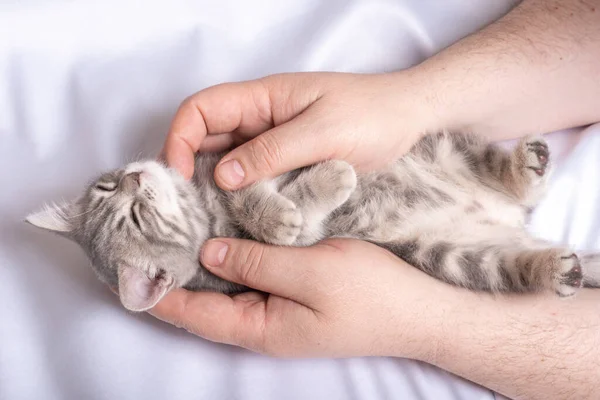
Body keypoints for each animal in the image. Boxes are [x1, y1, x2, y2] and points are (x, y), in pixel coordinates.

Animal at [27, 133, 600, 310]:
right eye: (136, 217)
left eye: (108, 190)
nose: (130, 179)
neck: (201, 206)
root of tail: (502, 217)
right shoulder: (307, 238)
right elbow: (297, 218)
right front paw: (298, 202)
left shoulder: (231, 156)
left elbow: (241, 182)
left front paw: (261, 200)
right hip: (451, 257)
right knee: (513, 263)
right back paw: (560, 269)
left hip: (442, 147)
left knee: (506, 178)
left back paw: (525, 167)